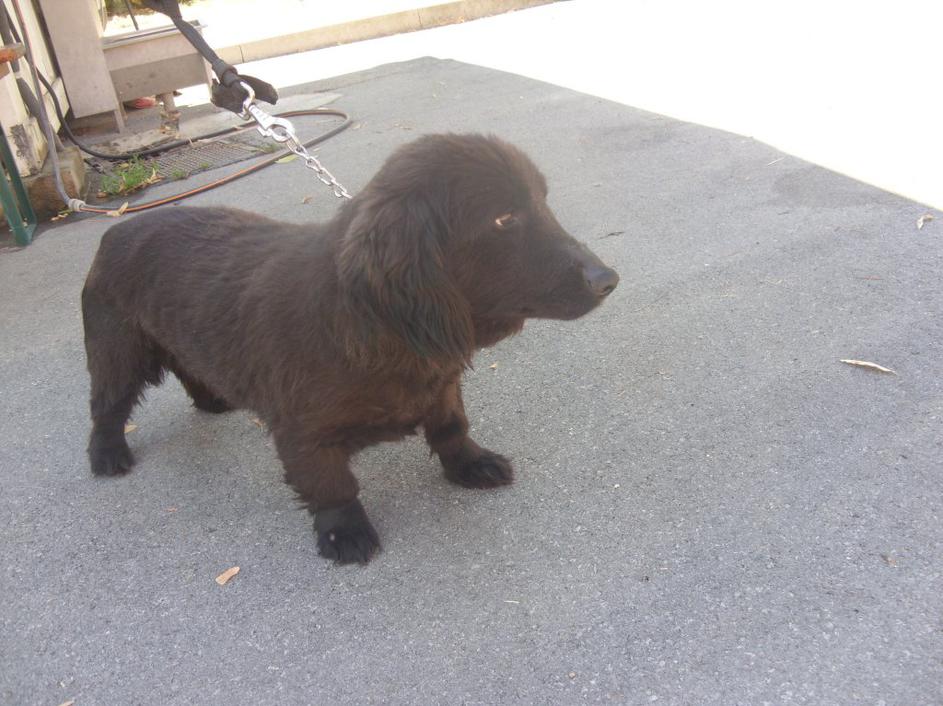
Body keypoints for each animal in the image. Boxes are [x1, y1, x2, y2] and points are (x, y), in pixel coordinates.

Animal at [82, 133, 619, 564]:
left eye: (543, 201)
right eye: (505, 218)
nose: (608, 280)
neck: (379, 326)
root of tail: (116, 227)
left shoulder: (443, 388)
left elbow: (451, 429)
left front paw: (470, 463)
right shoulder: (302, 434)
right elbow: (331, 484)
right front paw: (344, 531)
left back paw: (213, 400)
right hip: (116, 353)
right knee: (107, 407)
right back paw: (107, 453)